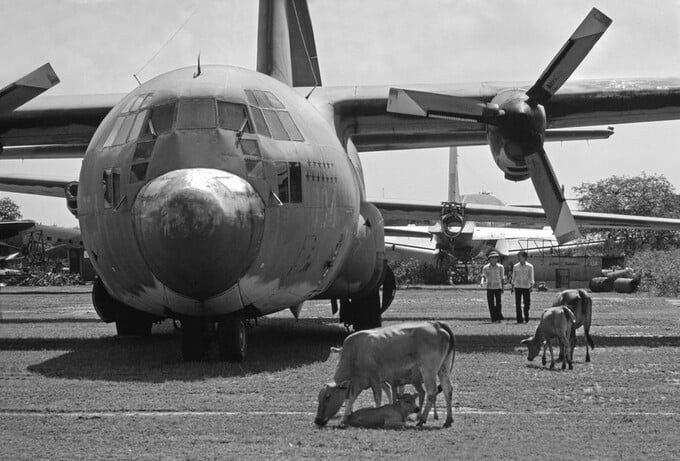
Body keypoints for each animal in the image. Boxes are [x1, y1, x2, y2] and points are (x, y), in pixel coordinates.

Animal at [314, 322, 454, 426]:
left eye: (328, 397)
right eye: (319, 397)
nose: (317, 420)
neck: (355, 353)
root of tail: (436, 325)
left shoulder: (376, 379)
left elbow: (377, 398)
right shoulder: (360, 384)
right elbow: (351, 399)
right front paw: (344, 418)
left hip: (428, 370)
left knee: (431, 392)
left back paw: (421, 420)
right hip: (443, 369)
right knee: (447, 389)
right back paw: (448, 420)